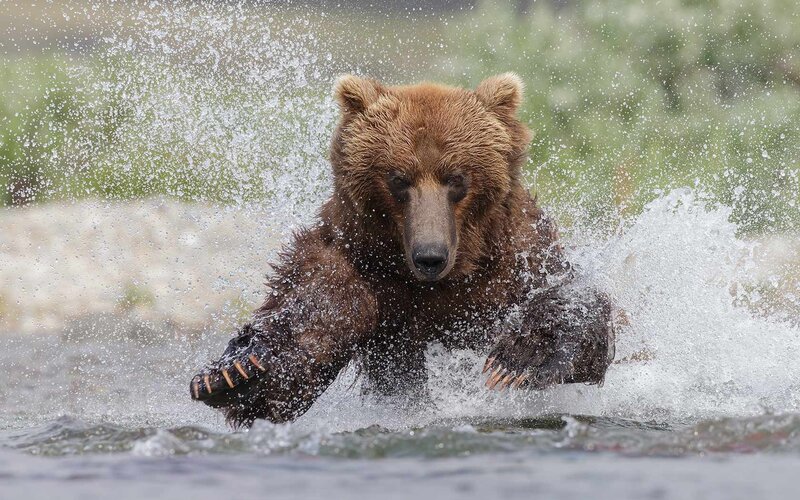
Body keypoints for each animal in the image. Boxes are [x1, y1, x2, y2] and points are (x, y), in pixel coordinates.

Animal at [190, 73, 615, 427]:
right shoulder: (357, 259)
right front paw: (232, 373)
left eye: (455, 177)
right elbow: (314, 310)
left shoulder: (515, 257)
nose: (430, 256)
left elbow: (574, 301)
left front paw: (516, 360)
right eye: (398, 179)